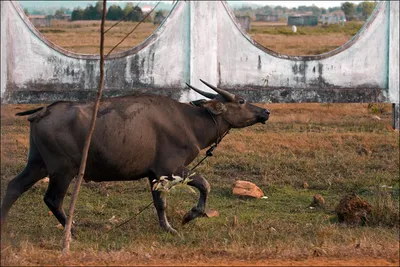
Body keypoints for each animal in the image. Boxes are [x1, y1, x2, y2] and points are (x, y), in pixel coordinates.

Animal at [0, 80, 270, 234]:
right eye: (242, 100)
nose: (265, 112)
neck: (190, 122)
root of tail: (43, 110)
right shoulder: (172, 168)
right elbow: (205, 184)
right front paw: (189, 216)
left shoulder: (154, 175)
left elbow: (160, 203)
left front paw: (167, 228)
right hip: (61, 170)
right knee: (52, 199)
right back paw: (72, 230)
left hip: (38, 164)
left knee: (14, 186)